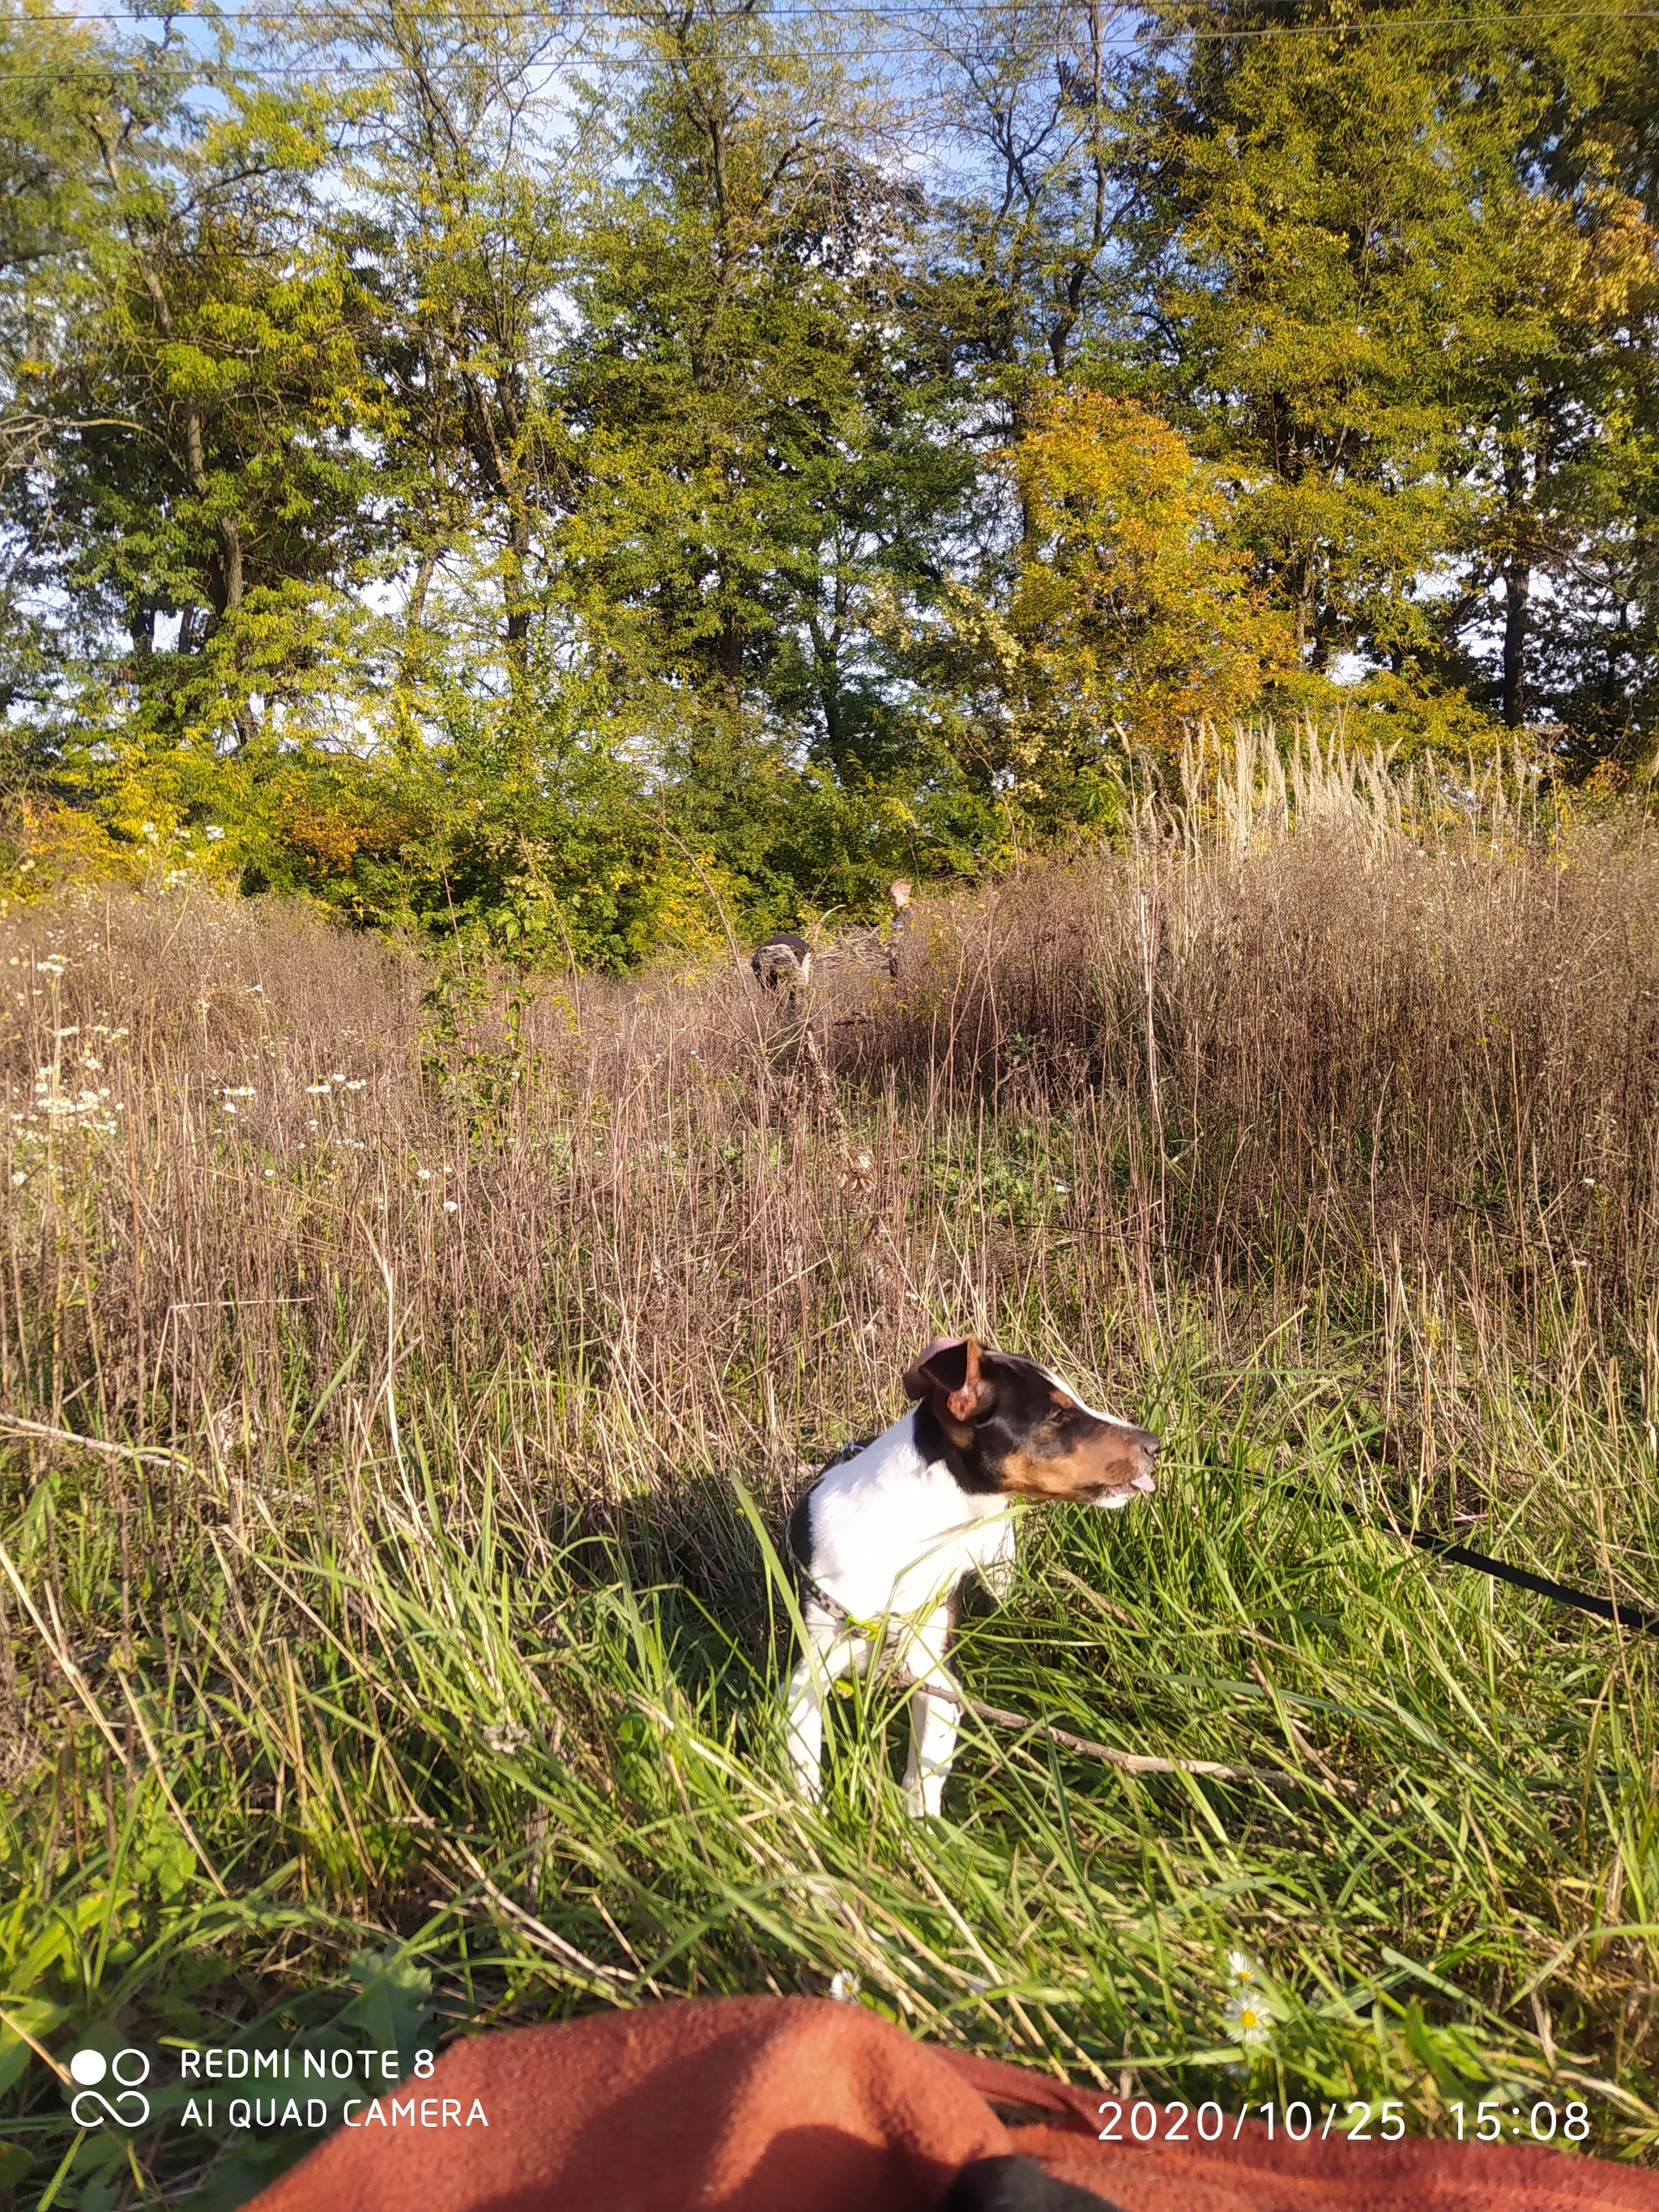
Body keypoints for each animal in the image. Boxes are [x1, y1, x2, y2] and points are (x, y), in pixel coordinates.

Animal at [787, 1327, 1158, 1813]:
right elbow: (802, 1758)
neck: (906, 1539)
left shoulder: (938, 1680)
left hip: (999, 1562)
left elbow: (922, 1780)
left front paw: (918, 1832)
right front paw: (808, 1819)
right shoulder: (809, 1667)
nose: (1155, 1445)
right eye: (1057, 1415)